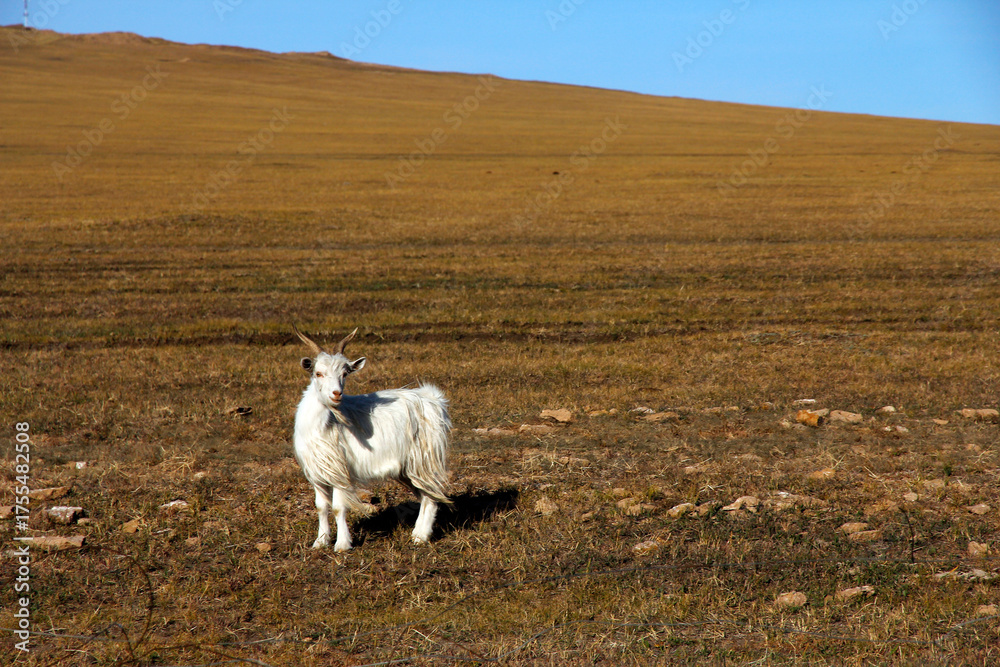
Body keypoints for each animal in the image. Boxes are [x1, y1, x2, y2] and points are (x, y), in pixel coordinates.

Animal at [292, 327, 451, 552]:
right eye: (318, 373)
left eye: (345, 373)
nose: (336, 394)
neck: (324, 425)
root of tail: (433, 399)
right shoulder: (317, 473)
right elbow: (321, 507)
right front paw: (320, 541)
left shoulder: (341, 471)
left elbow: (338, 508)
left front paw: (342, 544)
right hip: (407, 468)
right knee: (425, 494)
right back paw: (417, 534)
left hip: (424, 458)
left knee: (431, 495)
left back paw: (421, 536)